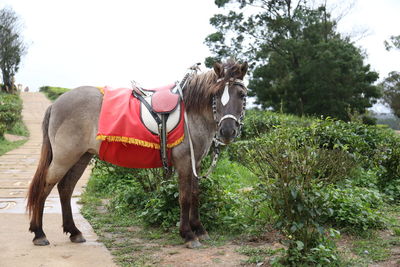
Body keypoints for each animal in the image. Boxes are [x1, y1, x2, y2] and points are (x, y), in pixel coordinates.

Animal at [25, 59, 247, 249]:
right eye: (216, 94)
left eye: (241, 95)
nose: (227, 131)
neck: (191, 112)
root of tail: (55, 104)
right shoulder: (184, 161)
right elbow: (184, 197)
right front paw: (188, 234)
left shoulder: (196, 162)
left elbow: (195, 194)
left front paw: (199, 229)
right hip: (64, 157)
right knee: (45, 185)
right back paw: (39, 233)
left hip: (81, 156)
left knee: (66, 188)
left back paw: (74, 231)